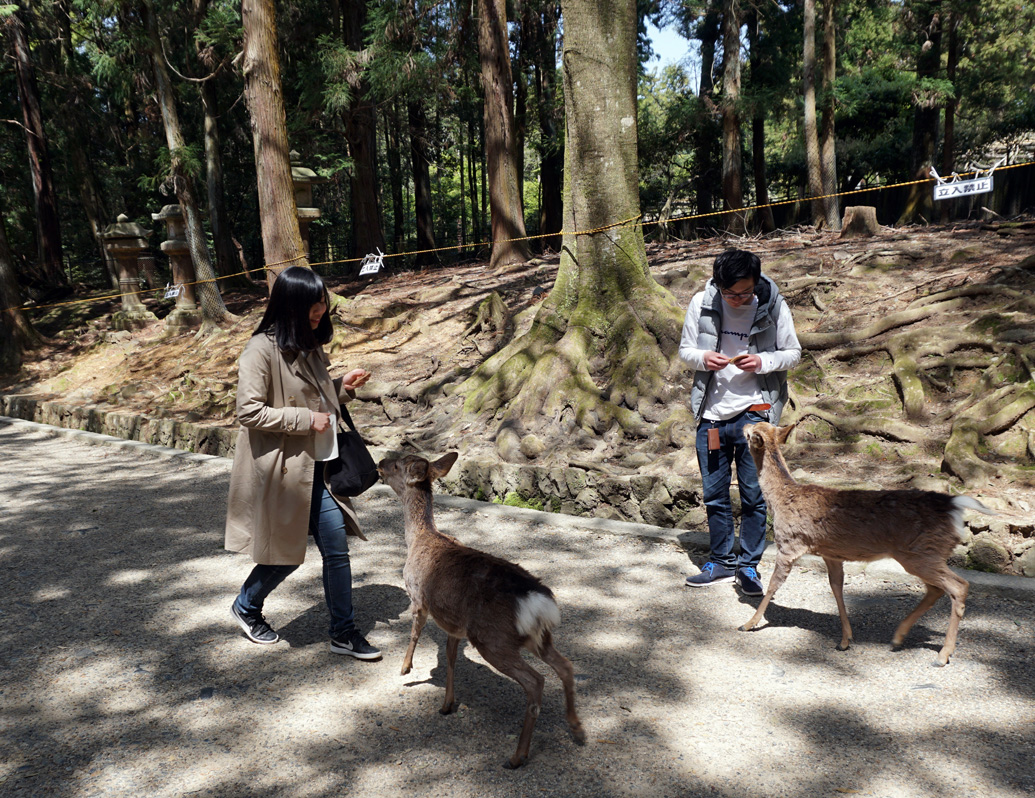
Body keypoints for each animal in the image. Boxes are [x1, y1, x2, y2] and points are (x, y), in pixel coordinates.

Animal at [377, 452, 586, 768]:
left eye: (398, 464)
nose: (379, 462)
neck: (419, 539)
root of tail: (538, 603)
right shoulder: (454, 622)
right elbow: (450, 657)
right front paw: (447, 704)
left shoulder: (418, 597)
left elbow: (415, 633)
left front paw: (405, 668)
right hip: (536, 637)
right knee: (565, 665)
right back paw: (576, 727)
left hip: (493, 639)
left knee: (536, 680)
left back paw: (517, 755)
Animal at [739, 422, 995, 666]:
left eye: (752, 431)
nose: (743, 425)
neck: (780, 499)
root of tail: (955, 506)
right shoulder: (830, 553)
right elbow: (836, 588)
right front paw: (845, 640)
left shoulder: (789, 543)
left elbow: (773, 584)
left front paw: (749, 623)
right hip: (923, 555)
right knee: (936, 589)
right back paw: (898, 637)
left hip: (921, 553)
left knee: (959, 586)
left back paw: (942, 655)